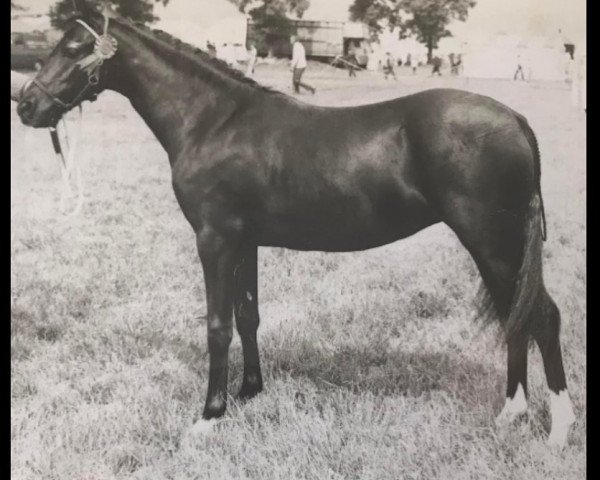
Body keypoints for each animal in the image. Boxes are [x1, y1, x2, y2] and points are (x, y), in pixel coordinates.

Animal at [16, 3, 576, 446]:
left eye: (72, 45)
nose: (26, 105)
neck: (213, 122)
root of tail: (516, 120)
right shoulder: (245, 242)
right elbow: (248, 316)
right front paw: (249, 392)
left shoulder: (214, 240)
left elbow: (218, 325)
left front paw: (209, 416)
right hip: (496, 248)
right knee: (516, 316)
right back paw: (511, 414)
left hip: (493, 242)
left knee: (541, 317)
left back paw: (558, 431)